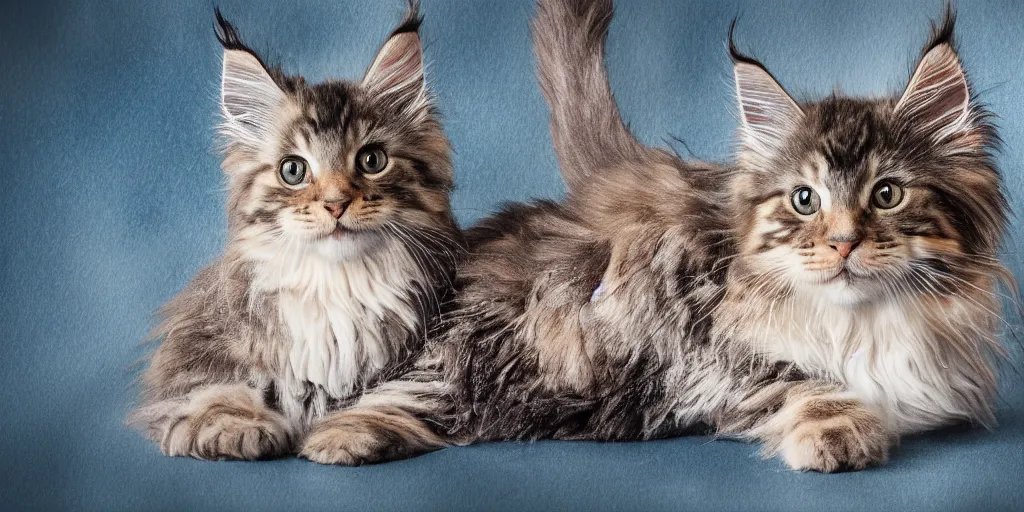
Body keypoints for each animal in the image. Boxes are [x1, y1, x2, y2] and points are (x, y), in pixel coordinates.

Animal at [129, 3, 464, 460]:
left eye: (372, 160)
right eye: (293, 170)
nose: (336, 203)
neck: (337, 287)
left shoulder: (430, 358)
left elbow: (400, 397)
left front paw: (345, 435)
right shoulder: (196, 351)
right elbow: (214, 393)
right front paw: (238, 429)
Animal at [299, 0, 1011, 473]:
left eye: (887, 194)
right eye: (805, 200)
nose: (841, 244)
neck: (859, 321)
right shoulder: (716, 356)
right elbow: (802, 380)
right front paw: (840, 432)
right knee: (421, 385)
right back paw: (338, 437)